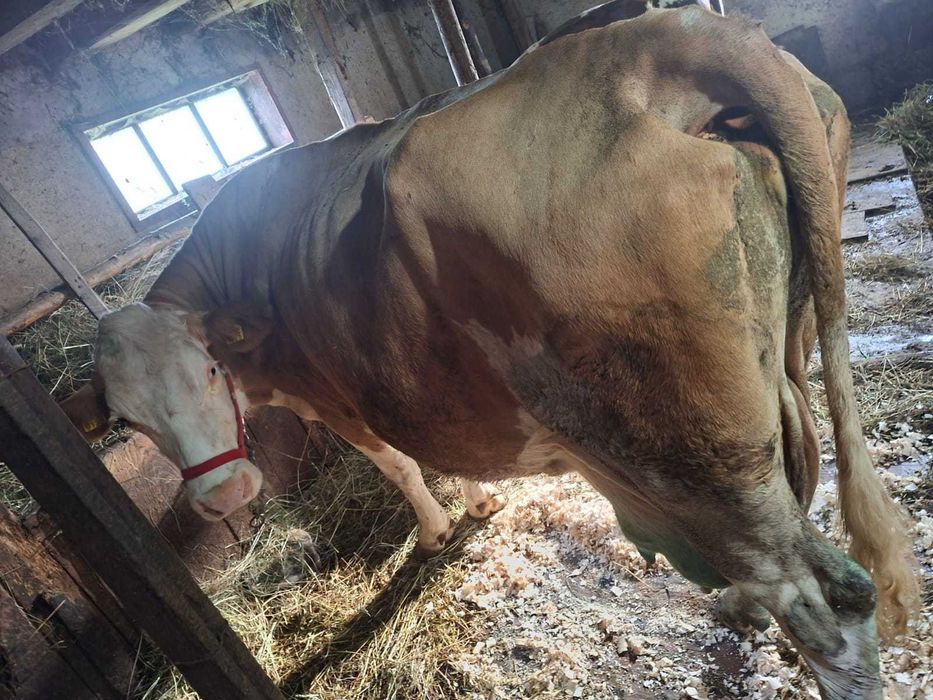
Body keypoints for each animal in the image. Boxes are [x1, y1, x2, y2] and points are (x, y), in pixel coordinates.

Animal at [61, 6, 918, 697]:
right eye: (129, 422)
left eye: (210, 369)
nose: (225, 497)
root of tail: (660, 38)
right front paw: (479, 502)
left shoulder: (334, 394)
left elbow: (401, 461)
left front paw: (442, 526)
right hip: (782, 369)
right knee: (804, 494)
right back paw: (741, 605)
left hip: (693, 458)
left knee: (828, 604)